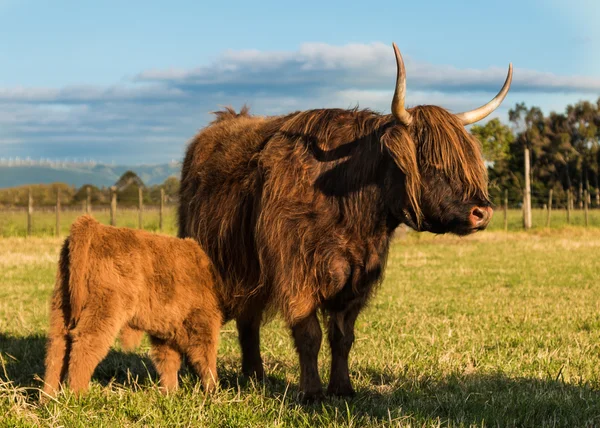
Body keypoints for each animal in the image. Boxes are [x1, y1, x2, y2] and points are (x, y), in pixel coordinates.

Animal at [41, 216, 223, 400]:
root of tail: (96, 228)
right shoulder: (204, 322)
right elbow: (205, 357)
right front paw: (212, 391)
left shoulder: (165, 333)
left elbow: (168, 361)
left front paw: (169, 393)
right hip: (104, 312)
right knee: (85, 345)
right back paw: (79, 397)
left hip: (61, 308)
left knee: (57, 347)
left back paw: (48, 398)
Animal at [177, 41, 510, 400]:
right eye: (432, 162)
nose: (482, 212)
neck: (353, 212)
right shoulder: (296, 272)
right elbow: (309, 334)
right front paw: (311, 393)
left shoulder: (357, 279)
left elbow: (342, 337)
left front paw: (342, 387)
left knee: (248, 319)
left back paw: (255, 376)